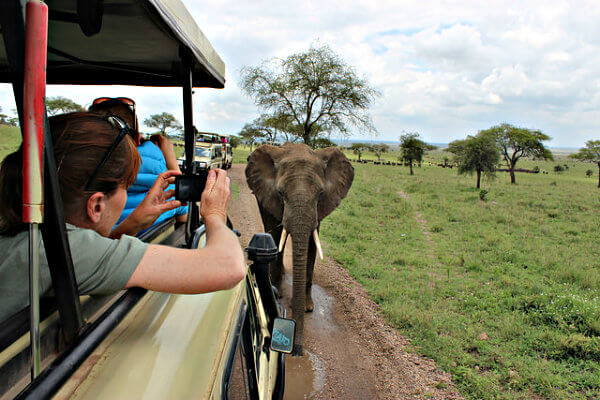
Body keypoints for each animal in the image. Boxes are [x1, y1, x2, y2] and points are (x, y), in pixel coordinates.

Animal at [246, 142, 354, 354]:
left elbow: (312, 245)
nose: (296, 350)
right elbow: (275, 236)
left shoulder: (319, 209)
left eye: (320, 194)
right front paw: (276, 294)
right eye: (280, 193)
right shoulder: (270, 197)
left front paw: (307, 307)